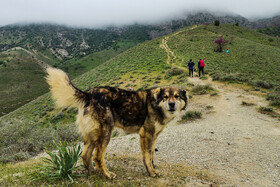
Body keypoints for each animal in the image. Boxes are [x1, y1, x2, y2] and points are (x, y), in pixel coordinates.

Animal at [46, 67, 188, 178]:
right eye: (165, 97)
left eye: (177, 96)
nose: (171, 104)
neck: (156, 104)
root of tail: (87, 94)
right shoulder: (146, 134)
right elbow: (147, 155)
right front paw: (151, 172)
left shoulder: (154, 136)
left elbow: (152, 153)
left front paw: (153, 166)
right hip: (105, 132)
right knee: (97, 156)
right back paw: (107, 174)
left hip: (92, 135)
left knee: (85, 155)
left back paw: (93, 171)